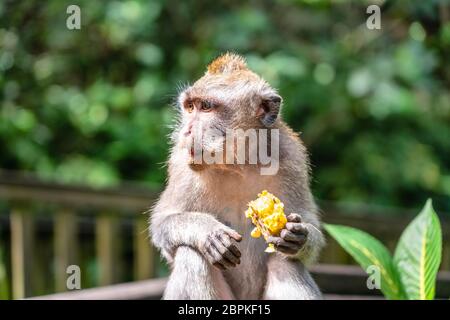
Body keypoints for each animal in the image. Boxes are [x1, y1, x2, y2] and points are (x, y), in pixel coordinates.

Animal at [150, 52, 324, 300]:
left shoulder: (293, 159)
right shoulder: (181, 163)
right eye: (190, 107)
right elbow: (162, 223)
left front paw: (299, 236)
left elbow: (309, 226)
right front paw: (207, 231)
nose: (186, 131)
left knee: (284, 263)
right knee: (191, 255)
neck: (238, 164)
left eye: (206, 107)